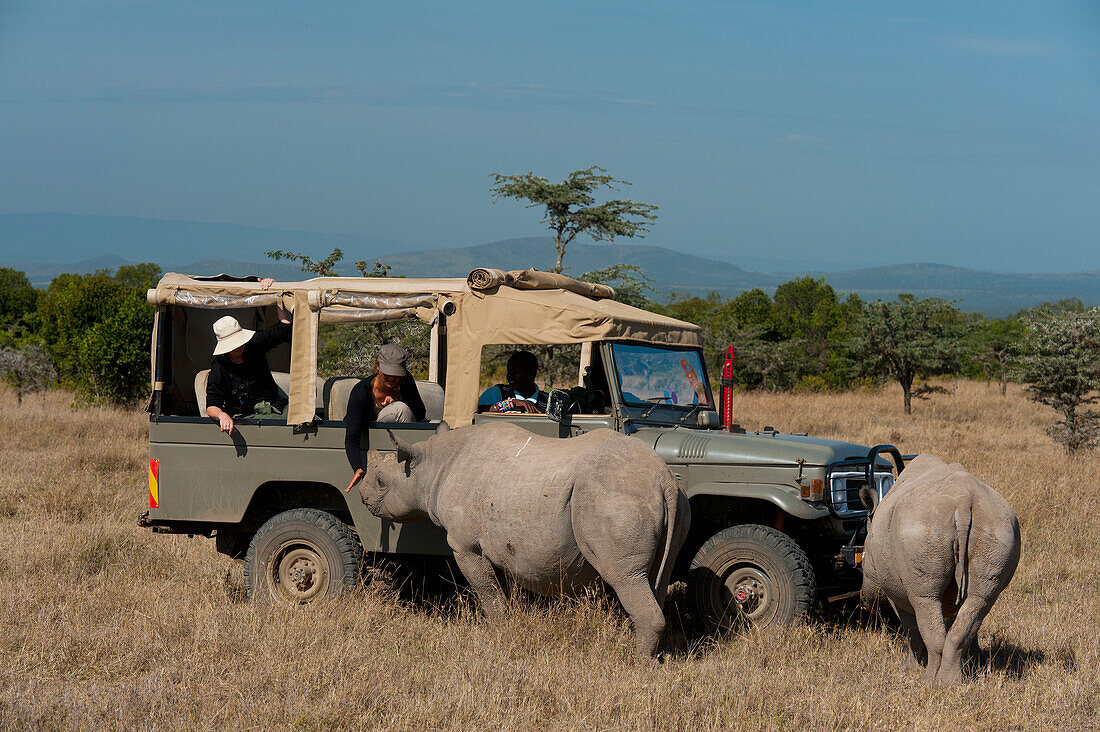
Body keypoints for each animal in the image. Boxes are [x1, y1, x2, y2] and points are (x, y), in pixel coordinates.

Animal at [360, 422, 686, 656]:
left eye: (381, 482)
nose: (362, 497)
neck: (432, 465)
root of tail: (664, 479)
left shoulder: (466, 546)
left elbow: (486, 590)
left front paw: (496, 632)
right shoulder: (496, 545)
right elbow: (500, 589)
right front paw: (509, 625)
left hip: (614, 497)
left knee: (626, 577)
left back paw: (635, 663)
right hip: (669, 502)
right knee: (655, 576)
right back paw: (653, 655)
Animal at [858, 453, 1020, 682]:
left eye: (862, 561)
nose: (863, 600)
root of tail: (963, 501)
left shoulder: (894, 592)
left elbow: (911, 629)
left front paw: (911, 667)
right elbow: (964, 623)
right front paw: (975, 663)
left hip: (922, 528)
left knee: (926, 600)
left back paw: (929, 682)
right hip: (996, 527)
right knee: (980, 600)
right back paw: (951, 683)